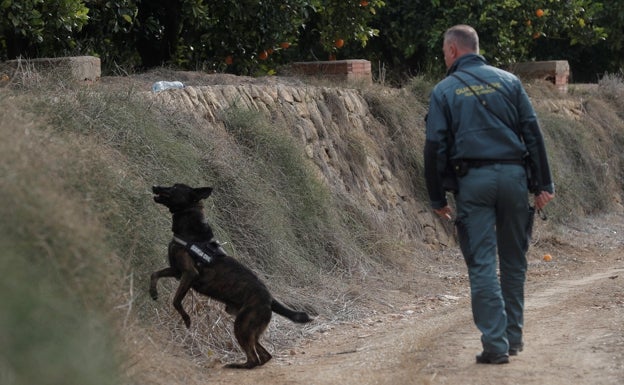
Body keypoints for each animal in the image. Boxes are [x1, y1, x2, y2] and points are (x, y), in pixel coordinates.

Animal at [151, 184, 312, 368]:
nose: (155, 186)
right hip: (248, 328)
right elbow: (154, 274)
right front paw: (152, 292)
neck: (189, 230)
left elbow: (176, 300)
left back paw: (236, 365)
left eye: (175, 187)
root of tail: (270, 300)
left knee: (254, 359)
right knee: (264, 355)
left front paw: (186, 319)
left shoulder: (189, 274)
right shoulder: (177, 271)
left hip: (242, 325)